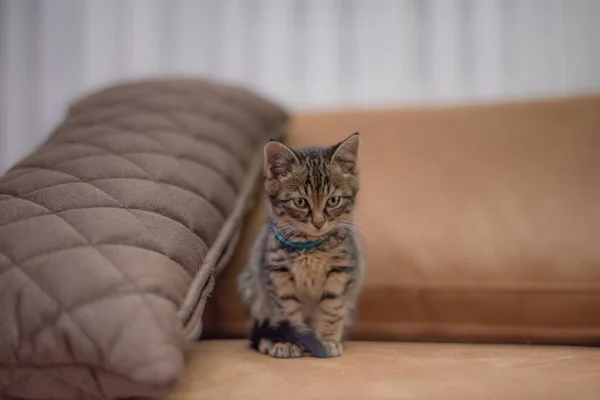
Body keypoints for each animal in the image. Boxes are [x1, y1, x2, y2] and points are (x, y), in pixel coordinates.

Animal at [237, 133, 364, 358]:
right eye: (300, 202)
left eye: (333, 200)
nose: (318, 222)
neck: (310, 247)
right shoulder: (277, 273)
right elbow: (288, 311)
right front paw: (290, 342)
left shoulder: (342, 270)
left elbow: (332, 309)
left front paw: (327, 341)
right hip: (251, 288)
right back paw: (271, 341)